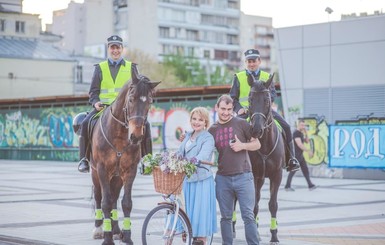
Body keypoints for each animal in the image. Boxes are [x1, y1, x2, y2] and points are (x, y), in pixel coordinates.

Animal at [90, 71, 159, 245]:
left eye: (150, 101)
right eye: (131, 99)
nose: (136, 136)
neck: (120, 135)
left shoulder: (129, 171)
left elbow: (126, 203)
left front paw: (126, 236)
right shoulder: (102, 169)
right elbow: (105, 203)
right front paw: (107, 238)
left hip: (117, 176)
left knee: (114, 197)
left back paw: (115, 230)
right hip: (95, 173)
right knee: (99, 196)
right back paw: (99, 229)